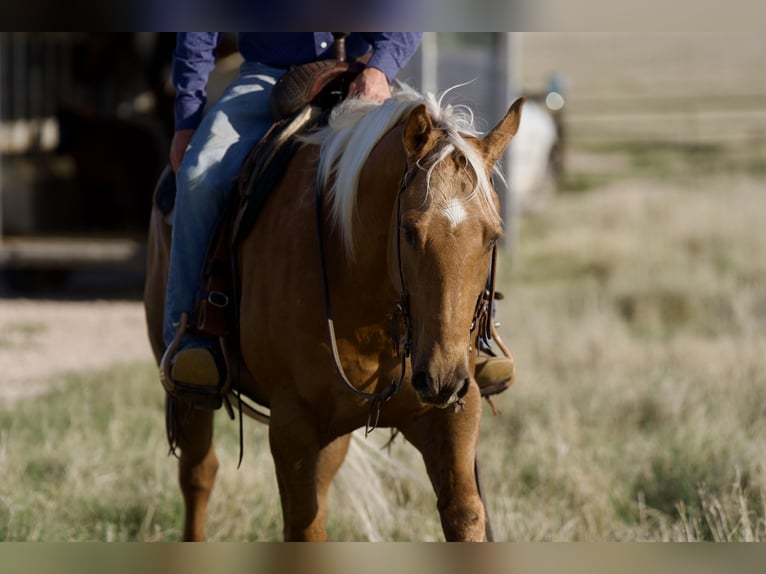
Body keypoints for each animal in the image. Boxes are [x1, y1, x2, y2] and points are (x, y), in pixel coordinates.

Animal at [145, 84, 528, 540]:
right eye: (408, 231)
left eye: (493, 236)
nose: (441, 379)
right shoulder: (293, 427)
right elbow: (304, 526)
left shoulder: (454, 416)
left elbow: (466, 515)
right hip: (190, 392)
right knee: (198, 473)